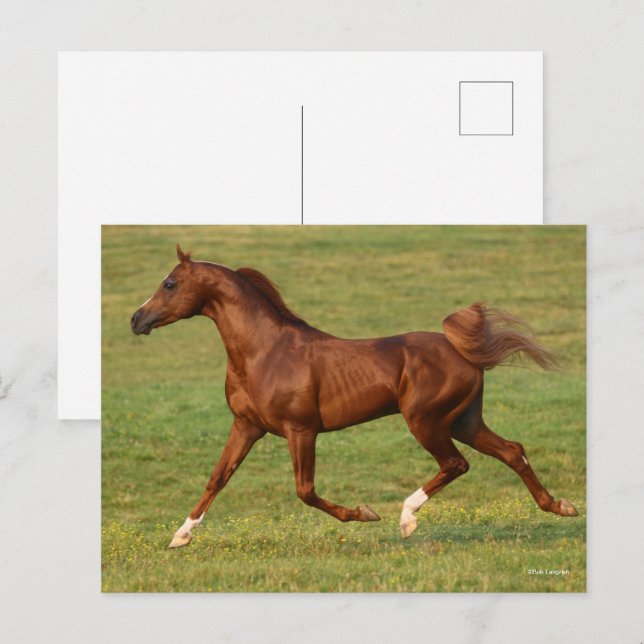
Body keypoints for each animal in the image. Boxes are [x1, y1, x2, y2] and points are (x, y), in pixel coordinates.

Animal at [130, 245, 578, 549]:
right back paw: (561, 506)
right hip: (464, 420)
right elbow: (217, 478)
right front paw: (180, 536)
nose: (136, 319)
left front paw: (364, 513)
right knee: (512, 450)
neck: (264, 352)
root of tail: (463, 351)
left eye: (169, 283)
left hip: (426, 421)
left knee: (456, 463)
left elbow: (305, 490)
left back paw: (406, 519)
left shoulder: (301, 430)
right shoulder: (247, 426)